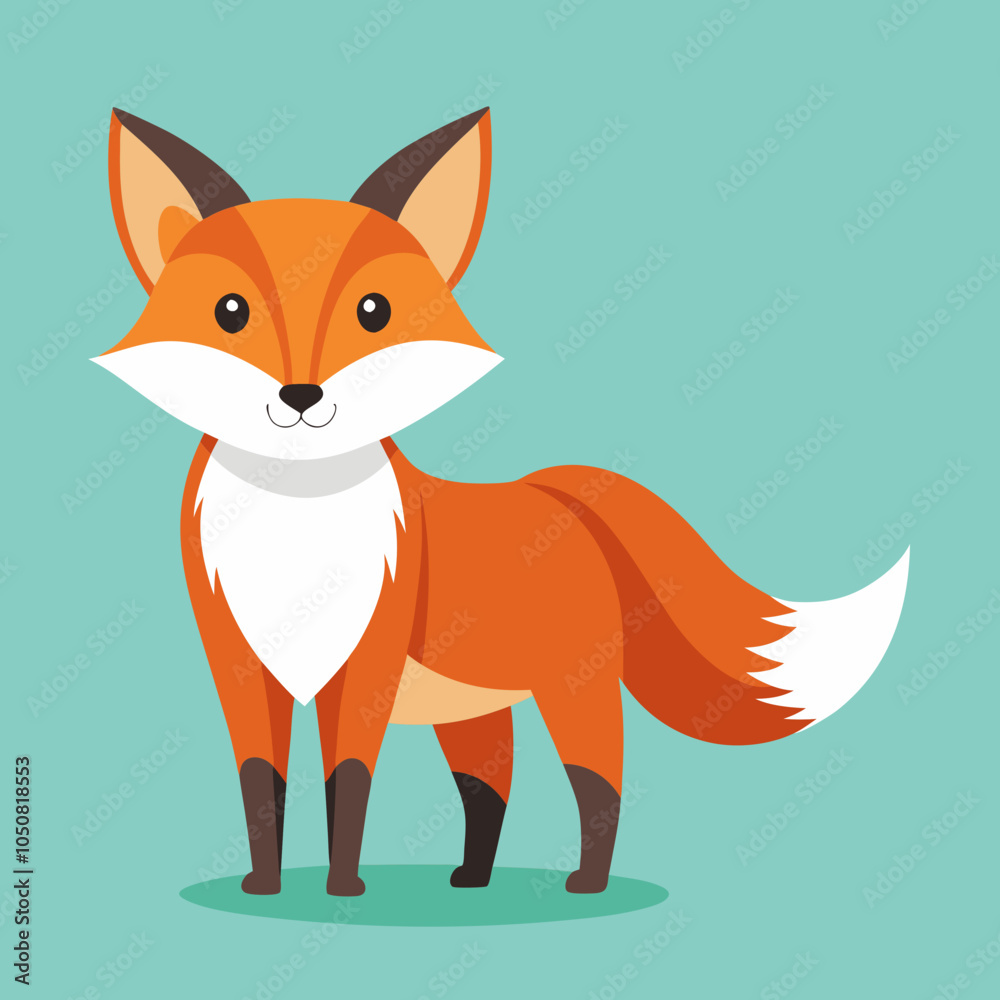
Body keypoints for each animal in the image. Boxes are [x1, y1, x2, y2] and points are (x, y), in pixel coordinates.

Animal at [97, 106, 909, 897]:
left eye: (373, 311)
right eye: (230, 312)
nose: (302, 396)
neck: (297, 525)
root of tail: (561, 491)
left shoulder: (365, 666)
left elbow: (346, 783)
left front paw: (342, 890)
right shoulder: (240, 665)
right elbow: (260, 786)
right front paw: (263, 888)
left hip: (571, 691)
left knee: (601, 784)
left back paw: (586, 883)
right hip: (478, 708)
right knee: (490, 790)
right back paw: (472, 879)